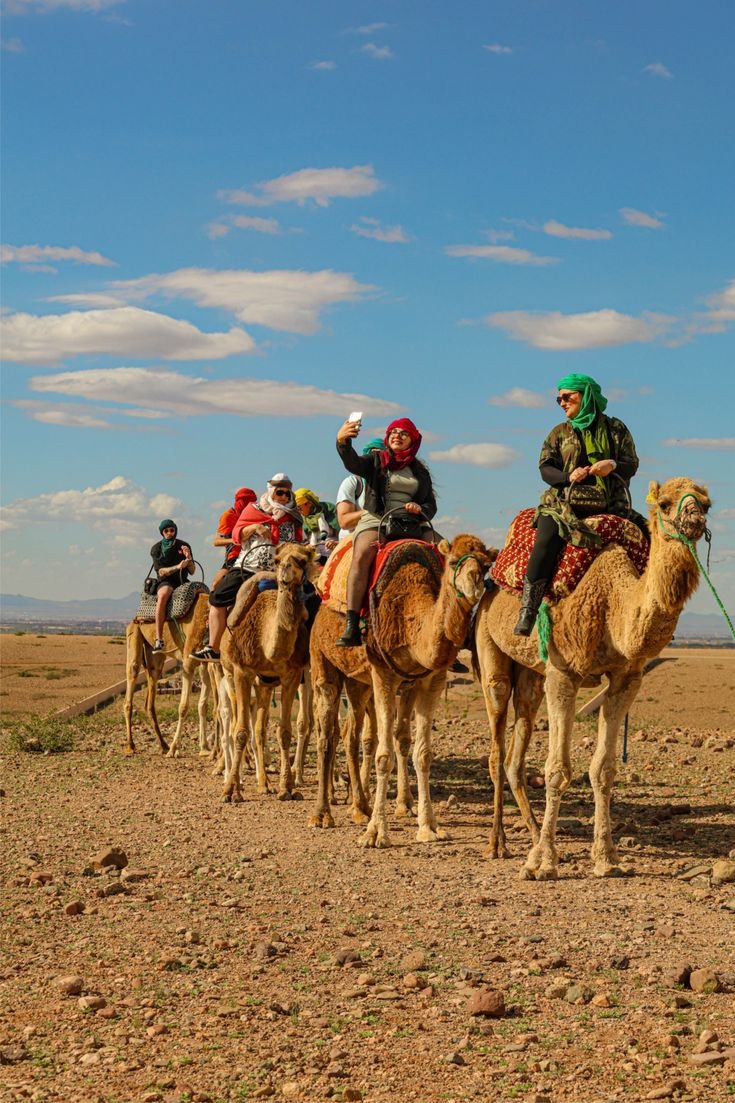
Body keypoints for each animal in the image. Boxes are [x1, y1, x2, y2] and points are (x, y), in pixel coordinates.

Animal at [123, 589, 211, 757]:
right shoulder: (188, 661)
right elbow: (183, 707)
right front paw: (174, 748)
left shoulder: (204, 662)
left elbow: (203, 706)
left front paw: (205, 748)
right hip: (134, 635)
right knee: (132, 678)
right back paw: (131, 745)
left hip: (154, 657)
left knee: (150, 701)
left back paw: (163, 745)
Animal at [220, 543, 318, 803]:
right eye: (277, 559)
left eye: (302, 560)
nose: (285, 573)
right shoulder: (243, 670)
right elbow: (240, 732)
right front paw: (230, 791)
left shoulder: (292, 675)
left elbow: (283, 732)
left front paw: (287, 787)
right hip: (229, 674)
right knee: (235, 725)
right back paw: (237, 781)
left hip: (264, 685)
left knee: (259, 731)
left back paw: (265, 784)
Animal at [357, 533, 494, 848]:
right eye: (453, 561)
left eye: (486, 566)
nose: (474, 584)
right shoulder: (382, 673)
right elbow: (383, 756)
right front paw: (375, 832)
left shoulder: (432, 679)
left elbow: (423, 753)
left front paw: (429, 826)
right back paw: (353, 805)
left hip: (400, 687)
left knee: (396, 738)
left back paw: (401, 803)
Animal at [473, 476, 711, 879]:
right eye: (665, 503)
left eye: (707, 503)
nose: (694, 520)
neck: (614, 605)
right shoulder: (563, 673)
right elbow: (557, 770)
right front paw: (544, 863)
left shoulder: (626, 678)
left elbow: (603, 770)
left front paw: (607, 858)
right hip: (491, 650)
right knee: (496, 749)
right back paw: (497, 845)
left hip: (530, 676)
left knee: (515, 756)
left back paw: (531, 836)